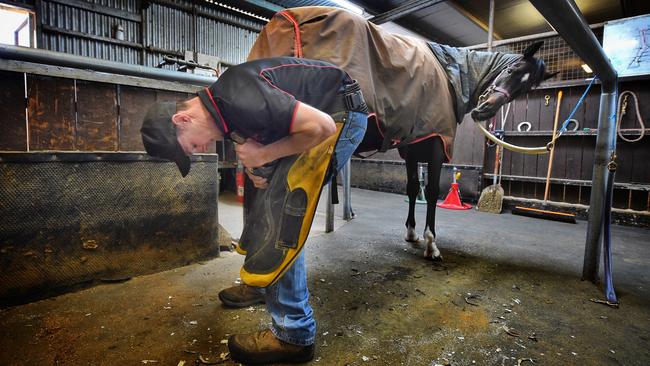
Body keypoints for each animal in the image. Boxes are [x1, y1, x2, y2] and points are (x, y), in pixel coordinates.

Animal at [247, 7, 552, 260]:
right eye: (512, 69)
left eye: (526, 88)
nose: (485, 111)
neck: (451, 74)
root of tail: (289, 21)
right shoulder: (436, 146)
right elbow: (432, 192)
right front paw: (431, 244)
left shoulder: (412, 147)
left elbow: (413, 187)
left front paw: (412, 233)